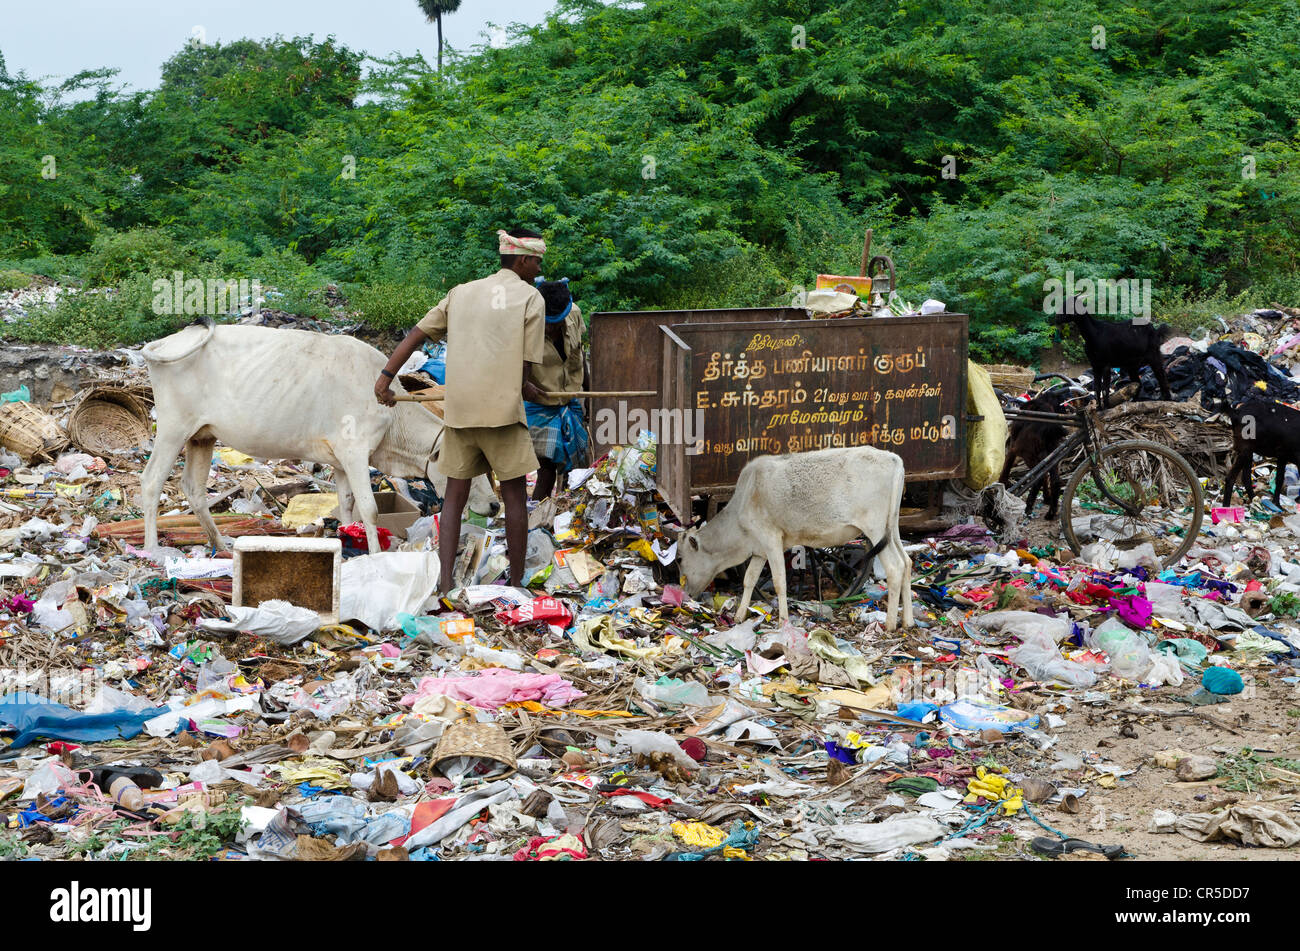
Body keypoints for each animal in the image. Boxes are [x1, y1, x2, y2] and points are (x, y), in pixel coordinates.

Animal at [138, 317, 496, 550]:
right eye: (469, 468)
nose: (495, 506)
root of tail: (166, 341)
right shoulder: (355, 451)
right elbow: (370, 509)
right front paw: (376, 558)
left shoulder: (340, 460)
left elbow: (347, 505)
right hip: (172, 428)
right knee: (152, 481)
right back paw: (154, 550)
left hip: (202, 435)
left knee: (194, 489)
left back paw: (221, 545)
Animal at [681, 446, 915, 631]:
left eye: (681, 560)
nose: (687, 593)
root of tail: (893, 458)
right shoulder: (759, 550)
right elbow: (749, 580)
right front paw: (739, 616)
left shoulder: (771, 539)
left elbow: (779, 582)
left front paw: (783, 621)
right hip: (891, 529)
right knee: (906, 562)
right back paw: (908, 621)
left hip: (875, 529)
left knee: (895, 567)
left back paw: (890, 624)